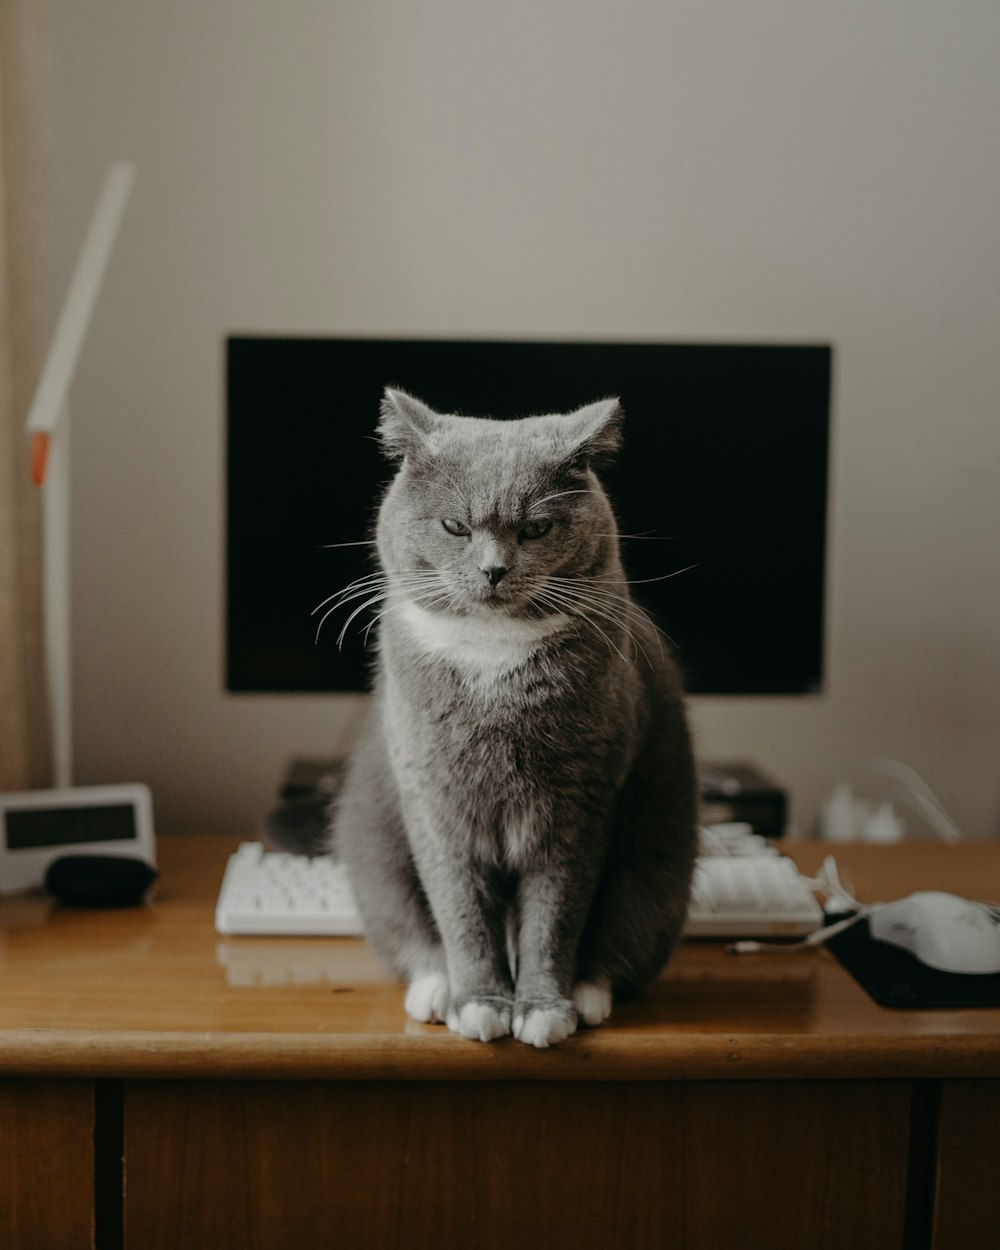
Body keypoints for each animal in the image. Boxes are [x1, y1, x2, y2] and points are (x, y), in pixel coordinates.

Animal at [327, 387, 695, 1045]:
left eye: (537, 527)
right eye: (454, 525)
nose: (493, 569)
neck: (492, 662)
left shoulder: (579, 804)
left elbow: (555, 917)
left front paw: (543, 1011)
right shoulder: (436, 804)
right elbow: (462, 912)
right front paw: (480, 1003)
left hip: (659, 865)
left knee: (621, 936)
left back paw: (587, 994)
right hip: (374, 853)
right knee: (412, 935)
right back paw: (438, 991)